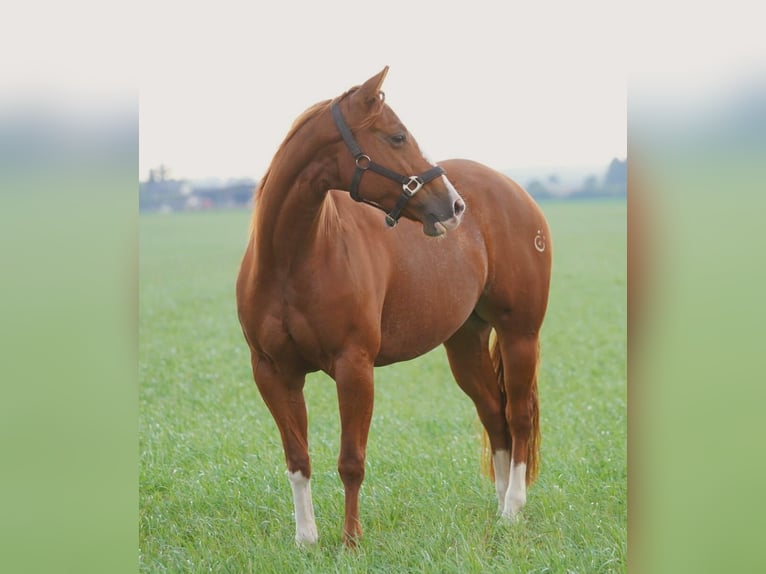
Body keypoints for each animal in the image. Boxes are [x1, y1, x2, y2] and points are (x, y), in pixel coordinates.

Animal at [236, 67, 552, 548]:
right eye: (398, 136)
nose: (454, 205)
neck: (292, 259)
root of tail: (515, 192)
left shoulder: (354, 367)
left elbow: (351, 461)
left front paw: (350, 541)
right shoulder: (272, 372)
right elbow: (297, 458)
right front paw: (306, 540)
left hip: (521, 337)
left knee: (517, 417)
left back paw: (514, 509)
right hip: (465, 343)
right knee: (493, 414)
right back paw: (500, 509)